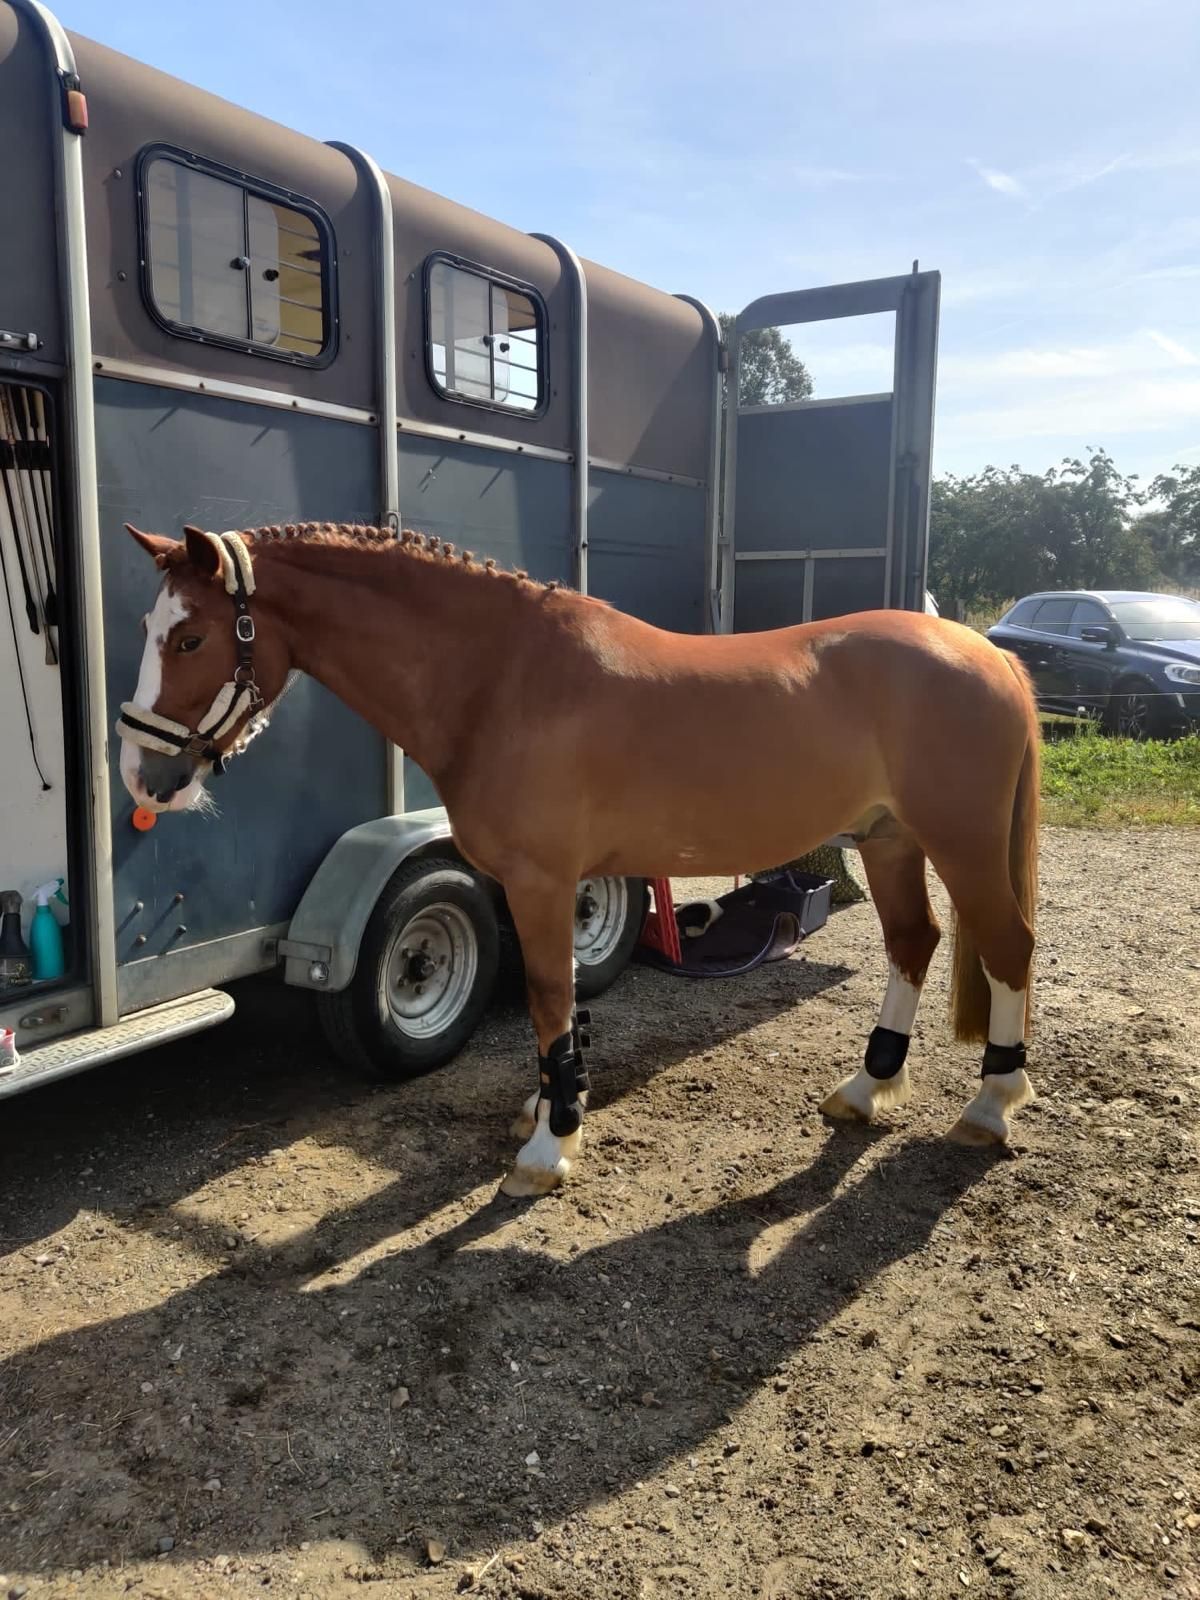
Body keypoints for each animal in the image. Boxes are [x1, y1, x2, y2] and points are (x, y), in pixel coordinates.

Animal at [117, 522, 1039, 1197]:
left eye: (191, 637)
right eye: (148, 629)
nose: (140, 775)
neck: (501, 677)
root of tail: (988, 652)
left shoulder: (540, 879)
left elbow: (548, 995)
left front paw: (550, 1147)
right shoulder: (536, 884)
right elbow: (551, 994)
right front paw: (548, 1103)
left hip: (958, 842)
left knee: (1007, 948)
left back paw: (992, 1104)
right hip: (889, 841)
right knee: (914, 943)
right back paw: (866, 1088)